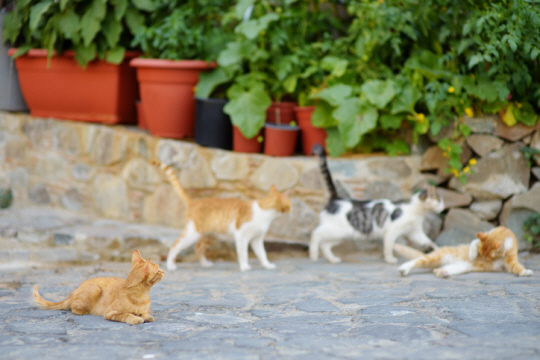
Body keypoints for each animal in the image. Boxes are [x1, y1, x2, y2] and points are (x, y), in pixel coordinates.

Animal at [33, 249, 163, 324]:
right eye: (158, 270)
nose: (164, 271)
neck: (142, 295)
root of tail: (72, 294)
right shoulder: (111, 313)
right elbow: (127, 315)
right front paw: (136, 318)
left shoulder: (146, 310)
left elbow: (146, 314)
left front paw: (145, 316)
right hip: (94, 289)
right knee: (74, 308)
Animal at [152, 160, 292, 270]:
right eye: (290, 204)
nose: (291, 210)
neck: (264, 212)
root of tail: (193, 202)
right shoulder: (241, 236)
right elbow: (243, 253)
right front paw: (244, 267)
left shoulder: (257, 239)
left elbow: (262, 254)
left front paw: (267, 265)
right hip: (193, 233)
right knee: (175, 245)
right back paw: (170, 265)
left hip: (211, 235)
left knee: (198, 248)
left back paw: (205, 264)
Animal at [308, 143, 442, 264]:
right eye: (439, 200)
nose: (443, 207)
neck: (415, 209)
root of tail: (335, 198)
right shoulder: (392, 230)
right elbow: (389, 246)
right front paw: (390, 259)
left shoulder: (415, 232)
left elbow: (427, 240)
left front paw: (436, 249)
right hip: (336, 230)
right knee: (316, 234)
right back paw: (313, 254)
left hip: (341, 234)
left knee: (325, 244)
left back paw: (332, 259)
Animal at [394, 228, 532, 278]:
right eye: (481, 255)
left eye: (487, 258)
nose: (481, 259)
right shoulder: (482, 237)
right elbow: (474, 242)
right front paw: (472, 254)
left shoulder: (510, 259)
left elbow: (515, 267)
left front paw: (524, 271)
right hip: (434, 257)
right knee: (416, 261)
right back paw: (404, 268)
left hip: (461, 267)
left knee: (439, 269)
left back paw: (443, 272)